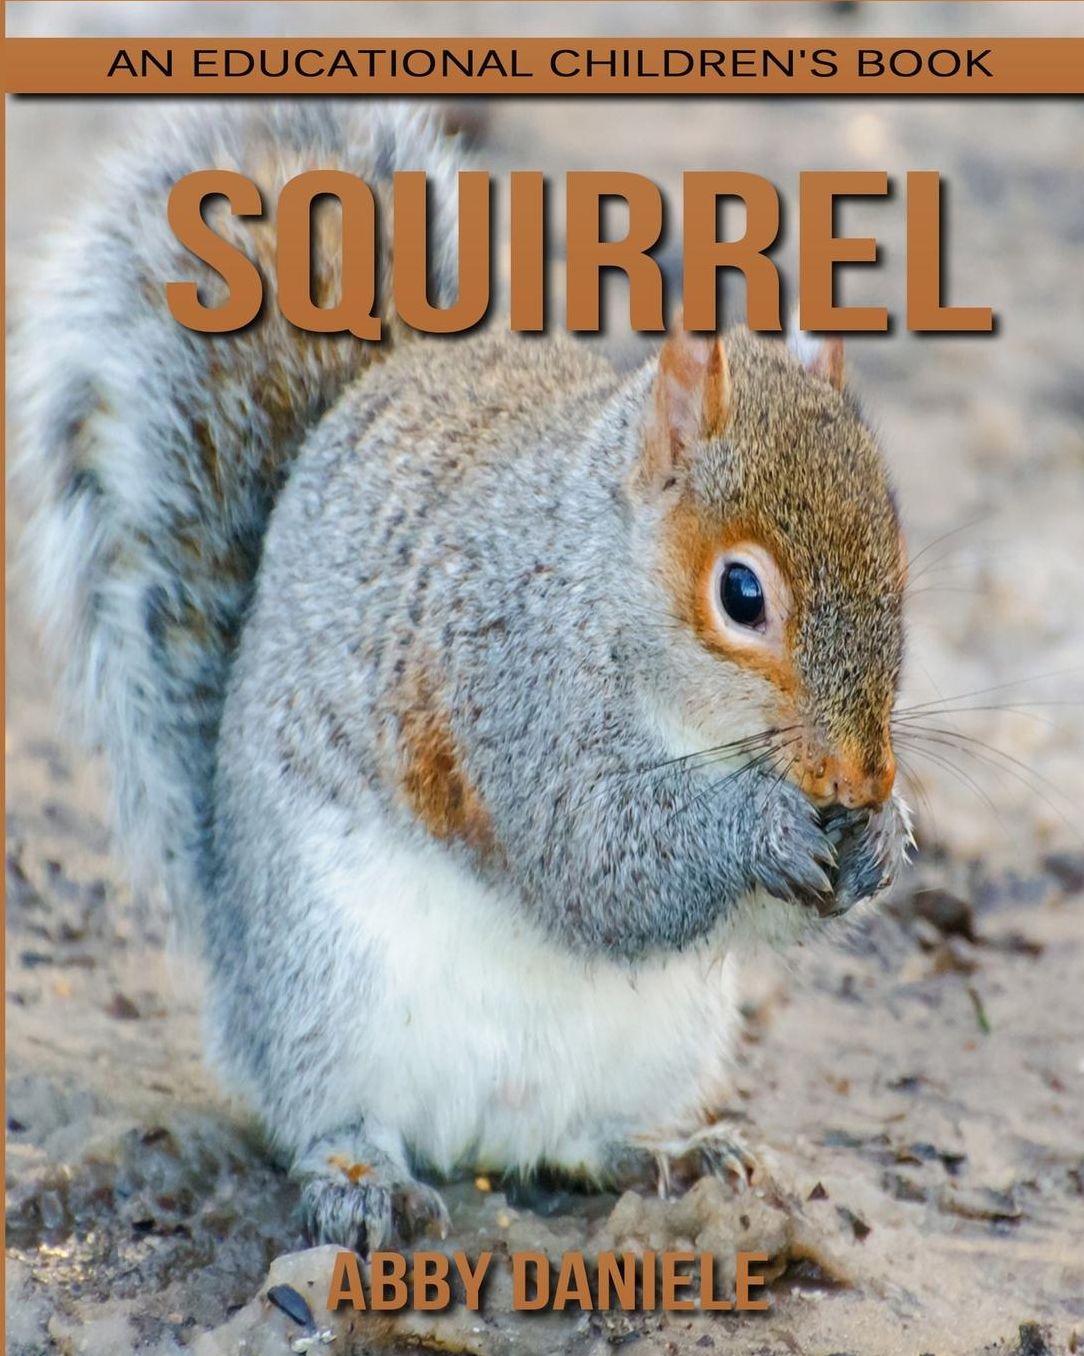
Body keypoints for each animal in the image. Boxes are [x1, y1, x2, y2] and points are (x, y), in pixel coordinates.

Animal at [16, 102, 912, 1251]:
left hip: (665, 1038)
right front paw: (762, 826)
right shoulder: (504, 674)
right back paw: (358, 1177)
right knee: (327, 1111)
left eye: (898, 547)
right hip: (330, 985)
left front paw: (882, 838)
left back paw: (665, 1151)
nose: (859, 778)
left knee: (579, 1140)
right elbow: (595, 856)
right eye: (743, 595)